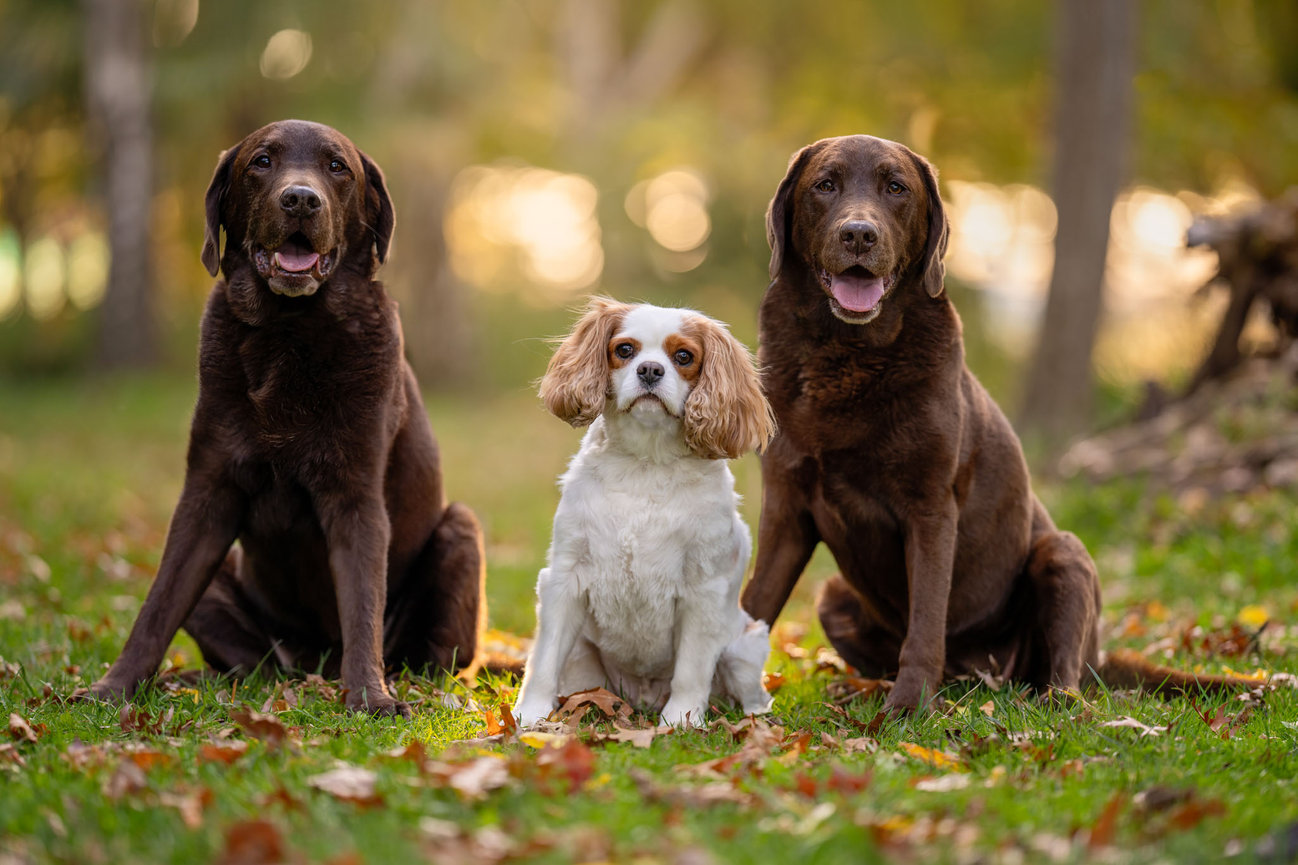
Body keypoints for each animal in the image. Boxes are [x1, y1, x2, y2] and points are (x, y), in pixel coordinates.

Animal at [81, 121, 488, 711]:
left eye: (337, 167)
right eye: (262, 162)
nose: (300, 199)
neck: (289, 330)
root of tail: (314, 663)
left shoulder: (356, 497)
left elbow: (362, 604)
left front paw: (370, 697)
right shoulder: (206, 494)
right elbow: (156, 607)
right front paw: (111, 688)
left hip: (460, 533)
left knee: (434, 660)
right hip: (224, 591)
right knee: (255, 663)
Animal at [511, 298, 773, 727]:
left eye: (684, 357)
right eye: (624, 350)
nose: (650, 369)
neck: (646, 463)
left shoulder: (703, 590)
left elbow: (691, 670)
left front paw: (681, 721)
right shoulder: (565, 579)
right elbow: (544, 661)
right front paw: (529, 716)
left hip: (744, 650)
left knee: (754, 695)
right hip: (582, 657)